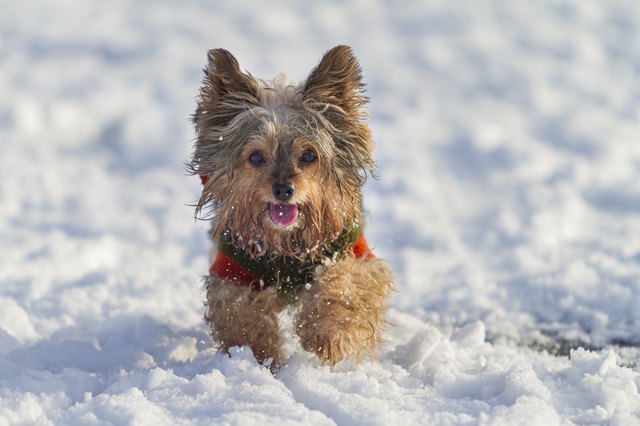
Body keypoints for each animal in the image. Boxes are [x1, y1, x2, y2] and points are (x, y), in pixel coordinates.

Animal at [188, 45, 392, 366]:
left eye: (309, 155)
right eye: (256, 157)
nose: (283, 189)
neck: (286, 243)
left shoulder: (353, 253)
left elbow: (345, 283)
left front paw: (325, 334)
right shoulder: (234, 268)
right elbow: (240, 313)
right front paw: (257, 358)